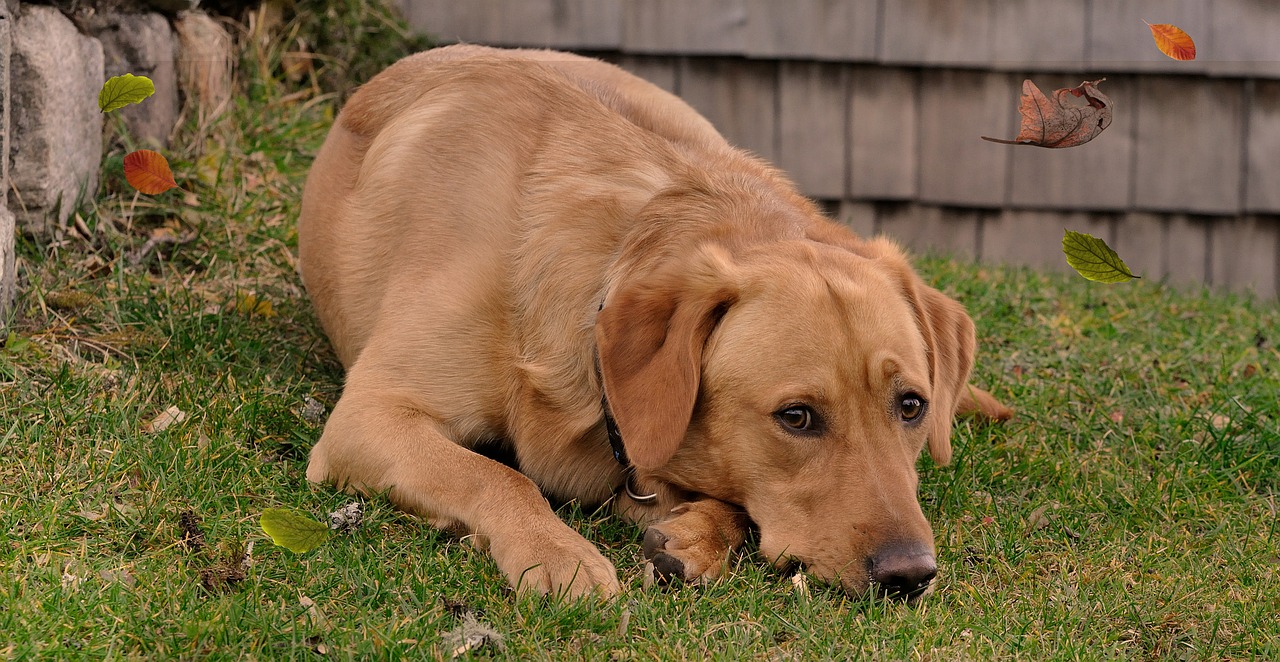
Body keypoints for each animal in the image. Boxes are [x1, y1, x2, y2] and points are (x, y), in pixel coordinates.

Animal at [299, 42, 1008, 599]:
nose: (910, 574)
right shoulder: (370, 416)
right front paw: (558, 552)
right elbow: (495, 475)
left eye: (912, 406)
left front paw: (695, 533)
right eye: (796, 417)